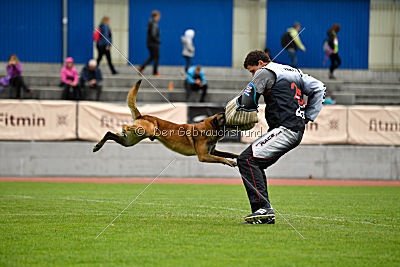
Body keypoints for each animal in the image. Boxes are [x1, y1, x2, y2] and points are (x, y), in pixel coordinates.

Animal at [94, 80, 238, 166]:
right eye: (224, 116)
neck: (208, 129)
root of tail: (142, 115)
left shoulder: (212, 152)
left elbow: (228, 153)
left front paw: (236, 156)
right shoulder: (203, 156)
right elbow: (221, 158)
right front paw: (230, 162)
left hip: (129, 141)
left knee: (109, 133)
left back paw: (98, 146)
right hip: (146, 130)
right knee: (124, 126)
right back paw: (121, 130)